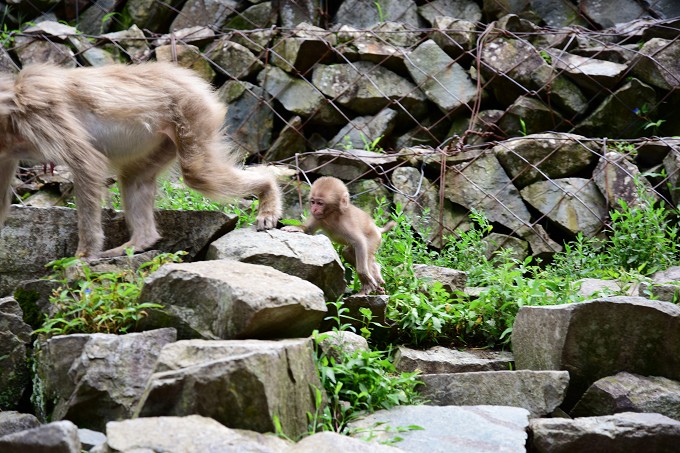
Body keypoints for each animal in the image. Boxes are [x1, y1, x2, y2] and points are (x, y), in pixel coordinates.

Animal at [0, 62, 282, 258]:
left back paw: (268, 191)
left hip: (192, 112)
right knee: (134, 177)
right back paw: (140, 242)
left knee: (198, 173)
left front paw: (84, 254)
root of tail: (188, 77)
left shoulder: (39, 111)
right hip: (165, 138)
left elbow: (88, 163)